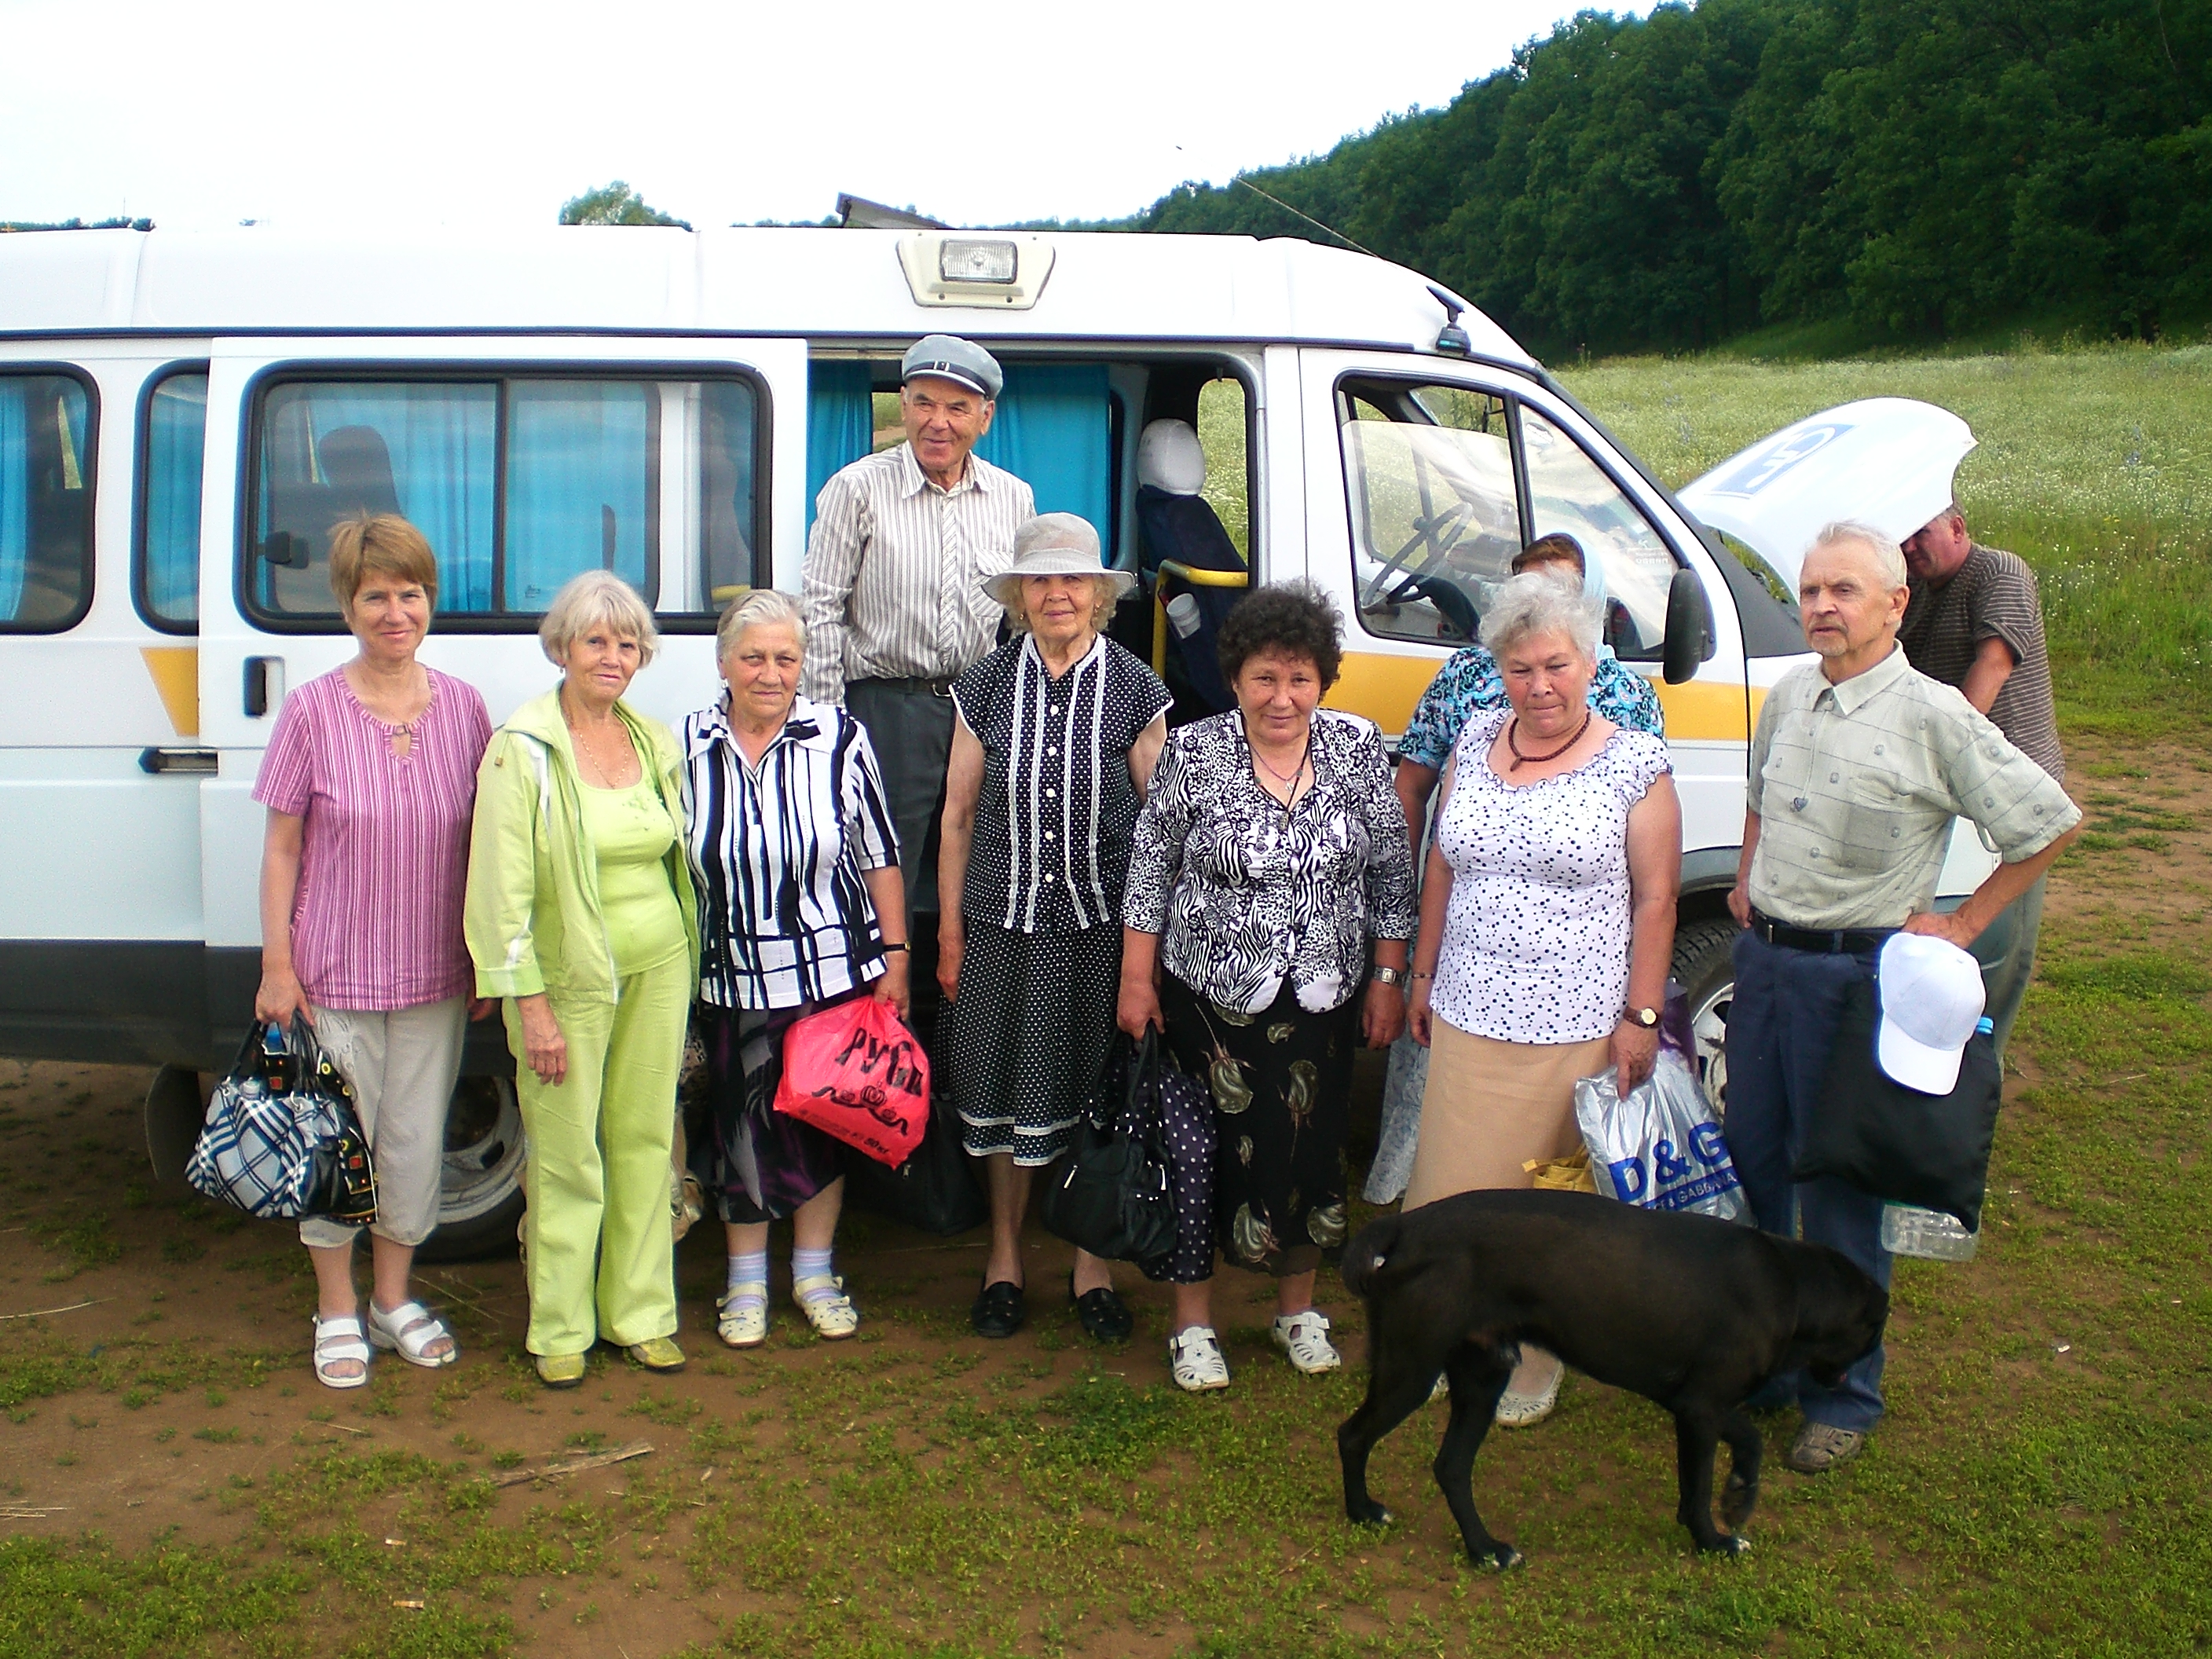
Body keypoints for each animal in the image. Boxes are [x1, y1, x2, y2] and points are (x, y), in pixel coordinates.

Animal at [1327, 1185, 1884, 1566]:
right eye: (1872, 1333)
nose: (1842, 1380)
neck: (1788, 1284)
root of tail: (1407, 1224)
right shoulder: (1701, 1404)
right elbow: (1736, 1453)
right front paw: (1724, 1524)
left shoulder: (1686, 1407)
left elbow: (1696, 1482)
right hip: (1411, 1370)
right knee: (1353, 1436)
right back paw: (1365, 1513)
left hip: (1483, 1379)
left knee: (1451, 1468)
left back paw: (1486, 1550)